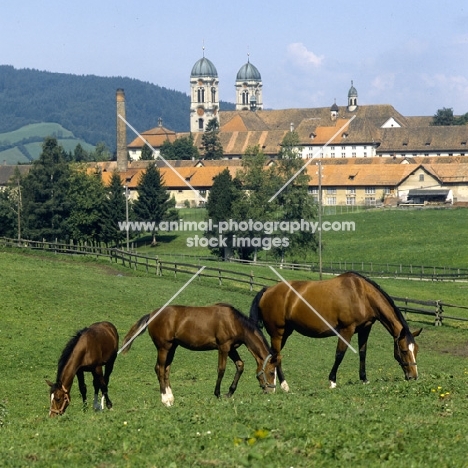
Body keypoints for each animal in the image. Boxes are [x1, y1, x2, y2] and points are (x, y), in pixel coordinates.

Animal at [122, 304, 280, 406]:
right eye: (271, 372)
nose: (271, 391)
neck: (234, 322)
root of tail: (151, 314)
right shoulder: (223, 347)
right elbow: (221, 369)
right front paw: (217, 393)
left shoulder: (231, 349)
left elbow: (240, 366)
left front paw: (229, 393)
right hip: (163, 347)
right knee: (159, 369)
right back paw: (165, 399)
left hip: (172, 347)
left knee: (166, 369)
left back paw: (171, 397)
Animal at [250, 270, 422, 392]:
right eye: (404, 350)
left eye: (416, 350)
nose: (414, 376)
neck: (361, 294)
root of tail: (268, 290)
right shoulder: (346, 330)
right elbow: (340, 354)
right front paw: (332, 381)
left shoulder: (365, 329)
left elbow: (363, 353)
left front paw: (364, 379)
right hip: (277, 333)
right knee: (277, 356)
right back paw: (284, 385)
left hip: (285, 333)